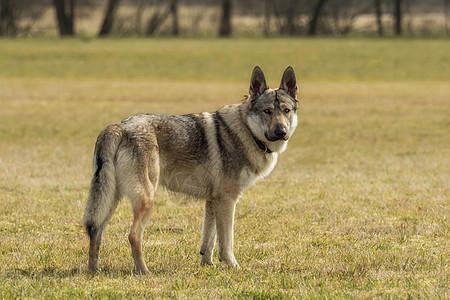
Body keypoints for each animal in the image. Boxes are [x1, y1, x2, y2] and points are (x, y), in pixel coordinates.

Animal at [84, 66, 298, 274]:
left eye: (286, 110)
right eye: (267, 111)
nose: (281, 132)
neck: (246, 131)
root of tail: (117, 127)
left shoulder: (213, 201)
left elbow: (209, 241)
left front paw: (208, 266)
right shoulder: (228, 200)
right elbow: (226, 243)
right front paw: (234, 267)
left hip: (110, 201)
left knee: (95, 233)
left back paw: (94, 271)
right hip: (146, 200)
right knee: (133, 235)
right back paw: (144, 272)